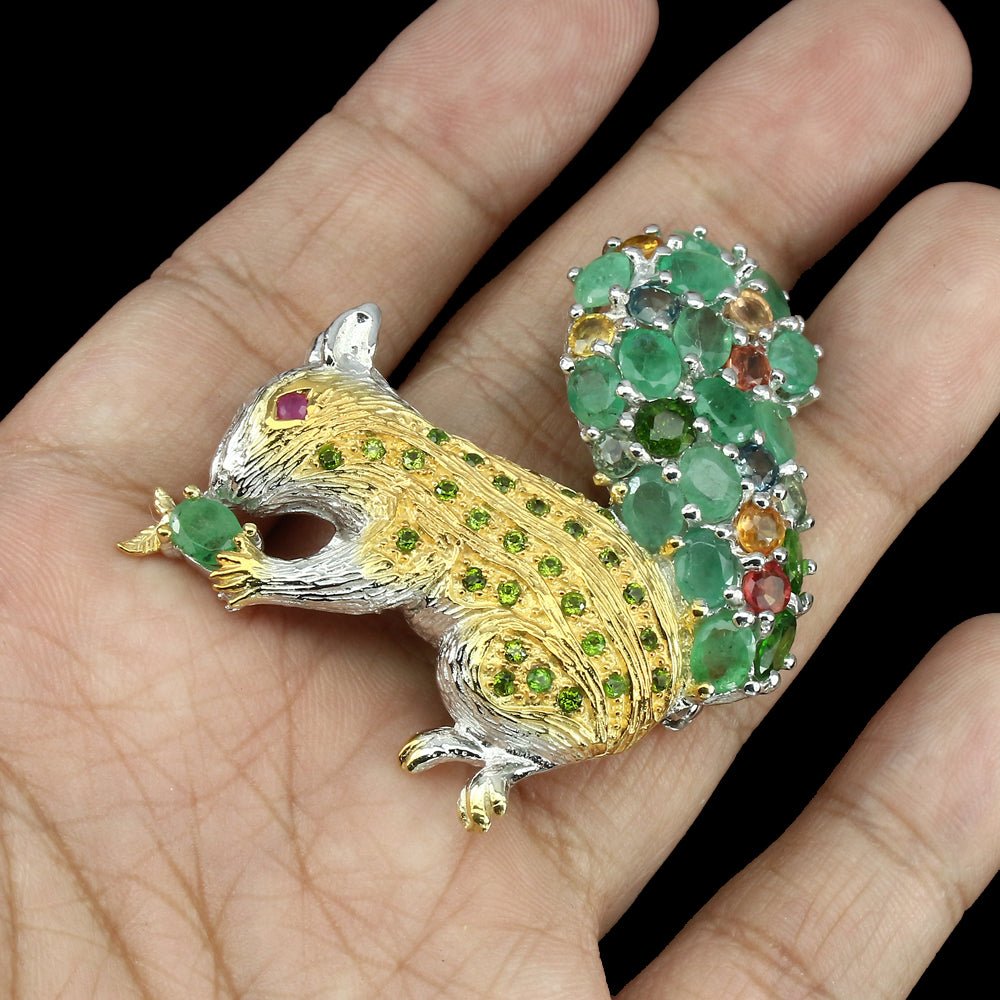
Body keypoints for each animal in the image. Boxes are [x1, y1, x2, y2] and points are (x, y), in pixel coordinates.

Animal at [121, 226, 818, 831]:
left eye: (287, 409)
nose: (218, 485)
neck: (393, 451)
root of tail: (669, 698)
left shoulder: (401, 539)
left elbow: (351, 584)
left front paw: (250, 568)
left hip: (485, 665)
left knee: (535, 756)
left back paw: (467, 755)